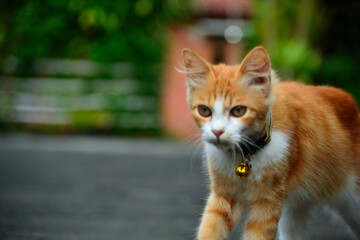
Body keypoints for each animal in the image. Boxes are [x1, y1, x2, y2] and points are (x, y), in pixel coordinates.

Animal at [183, 46, 360, 239]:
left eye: (238, 111)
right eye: (204, 110)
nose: (217, 131)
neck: (245, 154)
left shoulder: (267, 203)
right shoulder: (224, 196)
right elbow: (210, 228)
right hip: (296, 210)